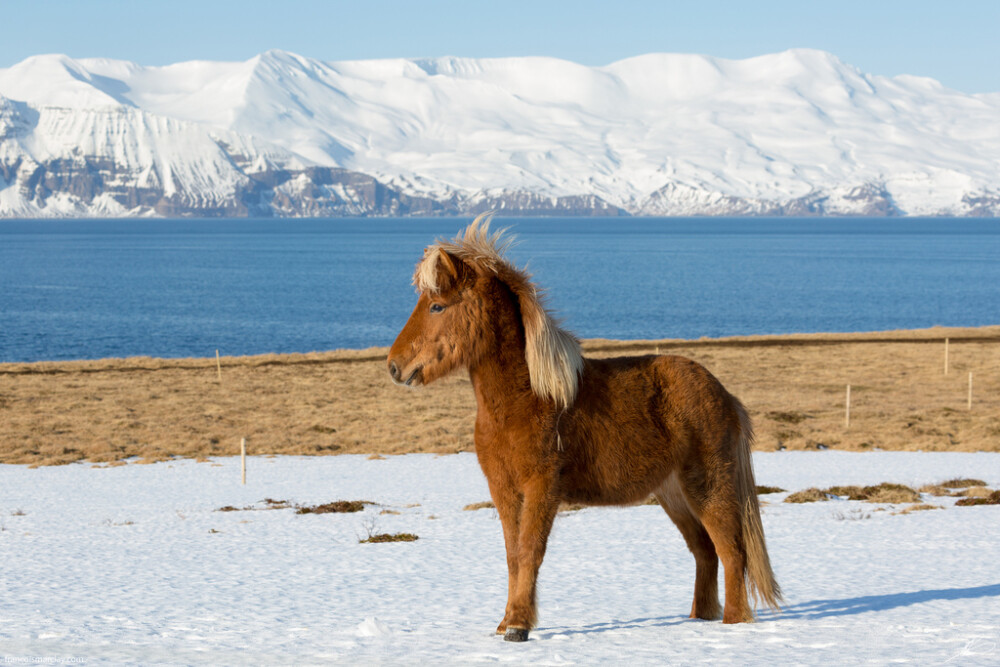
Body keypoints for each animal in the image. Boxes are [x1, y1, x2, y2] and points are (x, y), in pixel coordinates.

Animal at [386, 214, 784, 640]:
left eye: (437, 306)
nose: (394, 367)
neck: (527, 398)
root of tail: (723, 395)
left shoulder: (542, 487)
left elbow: (530, 551)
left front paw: (518, 626)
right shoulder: (503, 489)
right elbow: (512, 555)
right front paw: (506, 621)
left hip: (708, 486)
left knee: (731, 549)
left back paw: (733, 623)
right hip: (673, 493)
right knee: (705, 550)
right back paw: (700, 616)